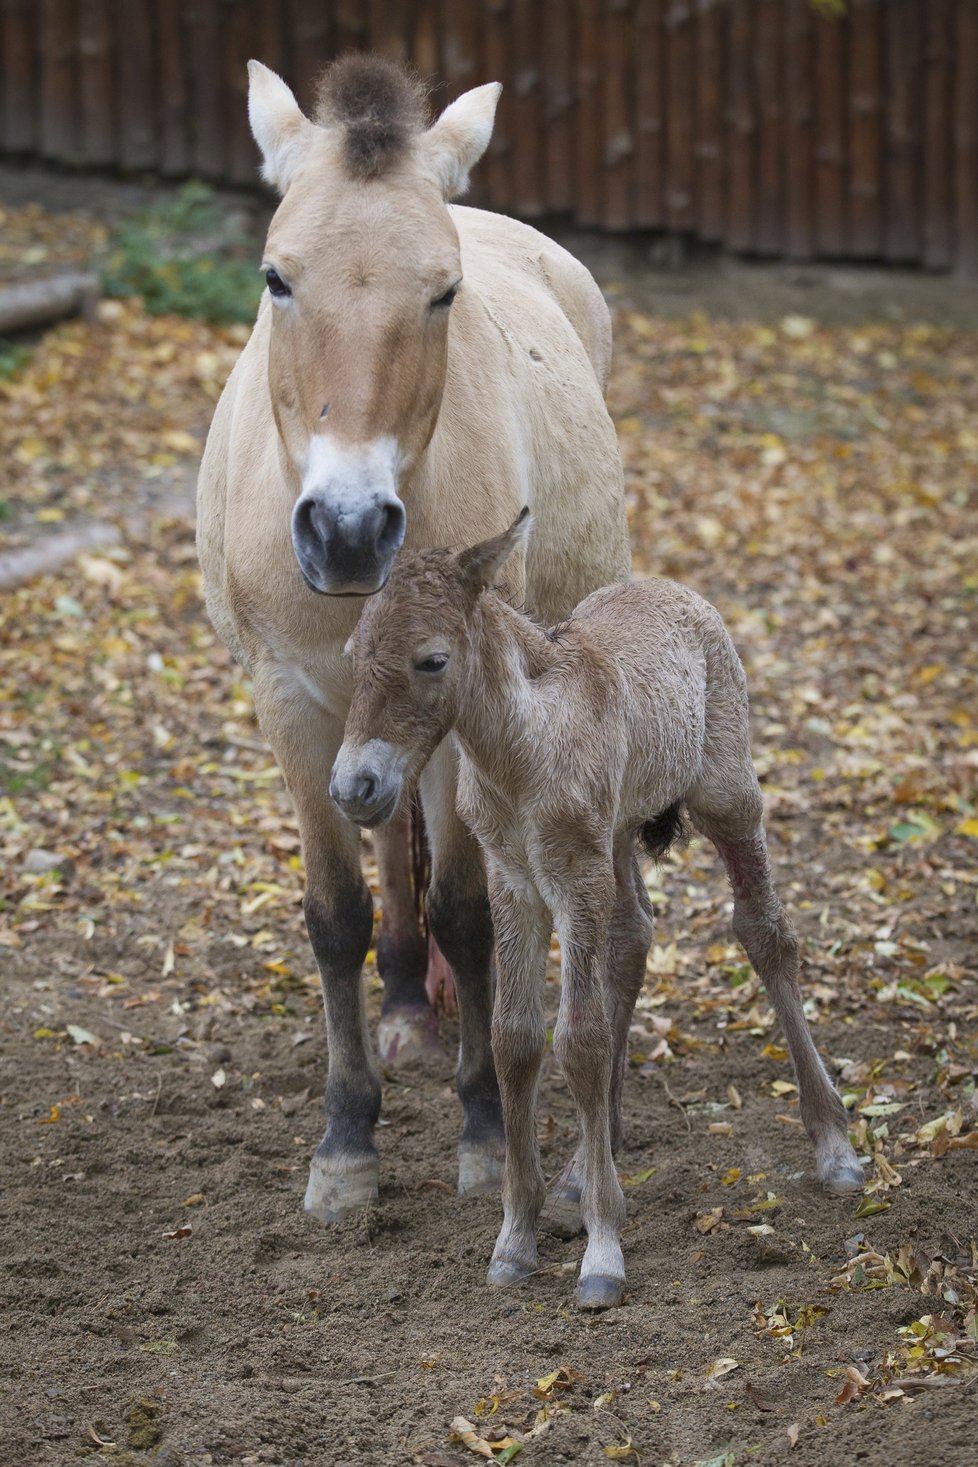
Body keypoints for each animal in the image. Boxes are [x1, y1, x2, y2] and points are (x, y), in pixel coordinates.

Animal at [196, 57, 627, 1220]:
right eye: (275, 278)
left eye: (443, 292)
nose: (347, 529)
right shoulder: (293, 706)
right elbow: (336, 912)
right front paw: (346, 1144)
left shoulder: (459, 715)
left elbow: (468, 912)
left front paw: (484, 1130)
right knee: (387, 840)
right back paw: (401, 1012)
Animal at [331, 513, 862, 1308]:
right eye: (352, 654)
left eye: (431, 660)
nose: (353, 787)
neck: (520, 750)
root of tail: (673, 587)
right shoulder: (516, 882)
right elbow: (515, 1037)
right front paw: (516, 1239)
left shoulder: (574, 877)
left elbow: (578, 1039)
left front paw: (602, 1254)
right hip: (615, 834)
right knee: (632, 935)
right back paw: (583, 1172)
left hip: (727, 793)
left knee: (764, 933)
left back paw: (833, 1144)